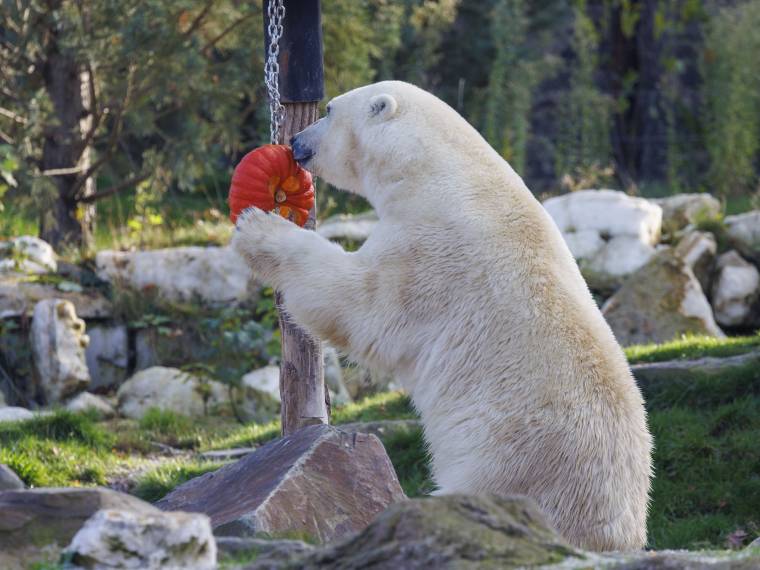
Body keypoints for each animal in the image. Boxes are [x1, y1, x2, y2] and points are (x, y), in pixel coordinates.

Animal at [233, 80, 652, 552]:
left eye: (330, 110)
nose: (297, 142)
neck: (442, 169)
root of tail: (616, 535)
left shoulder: (430, 245)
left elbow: (361, 301)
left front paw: (258, 227)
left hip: (510, 459)